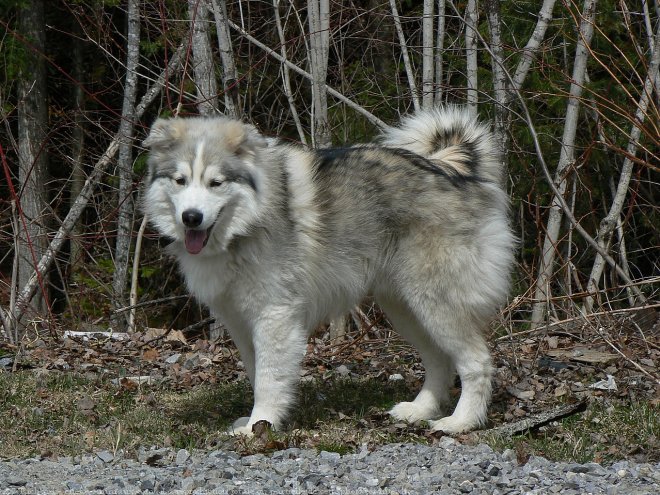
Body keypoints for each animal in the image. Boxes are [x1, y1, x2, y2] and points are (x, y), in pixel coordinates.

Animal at [143, 107, 516, 434]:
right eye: (180, 180)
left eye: (216, 183)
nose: (191, 217)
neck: (244, 227)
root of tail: (452, 169)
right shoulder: (240, 322)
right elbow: (256, 372)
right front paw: (257, 421)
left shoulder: (274, 317)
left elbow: (268, 379)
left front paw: (259, 425)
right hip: (407, 309)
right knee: (439, 361)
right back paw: (420, 410)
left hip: (436, 305)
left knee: (476, 363)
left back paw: (462, 422)